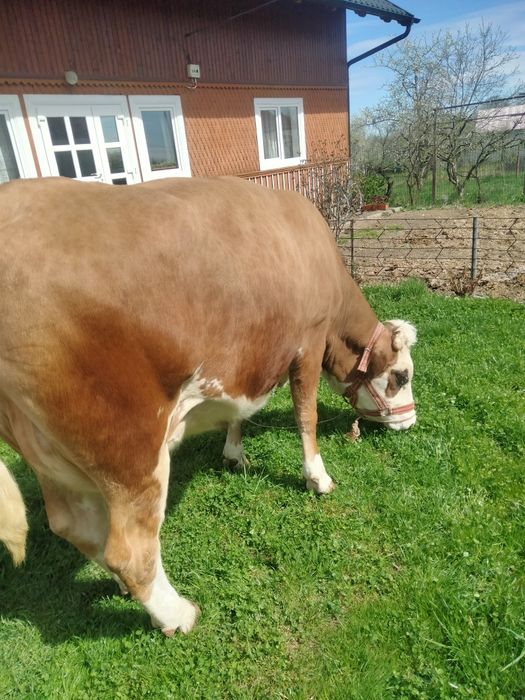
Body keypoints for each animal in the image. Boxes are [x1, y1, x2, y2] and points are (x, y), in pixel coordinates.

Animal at [0, 176, 416, 635]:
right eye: (402, 376)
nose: (410, 422)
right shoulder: (308, 340)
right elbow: (306, 414)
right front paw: (318, 478)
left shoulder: (244, 360)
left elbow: (238, 413)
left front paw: (234, 454)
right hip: (128, 447)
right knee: (129, 550)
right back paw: (177, 614)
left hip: (49, 456)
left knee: (76, 526)